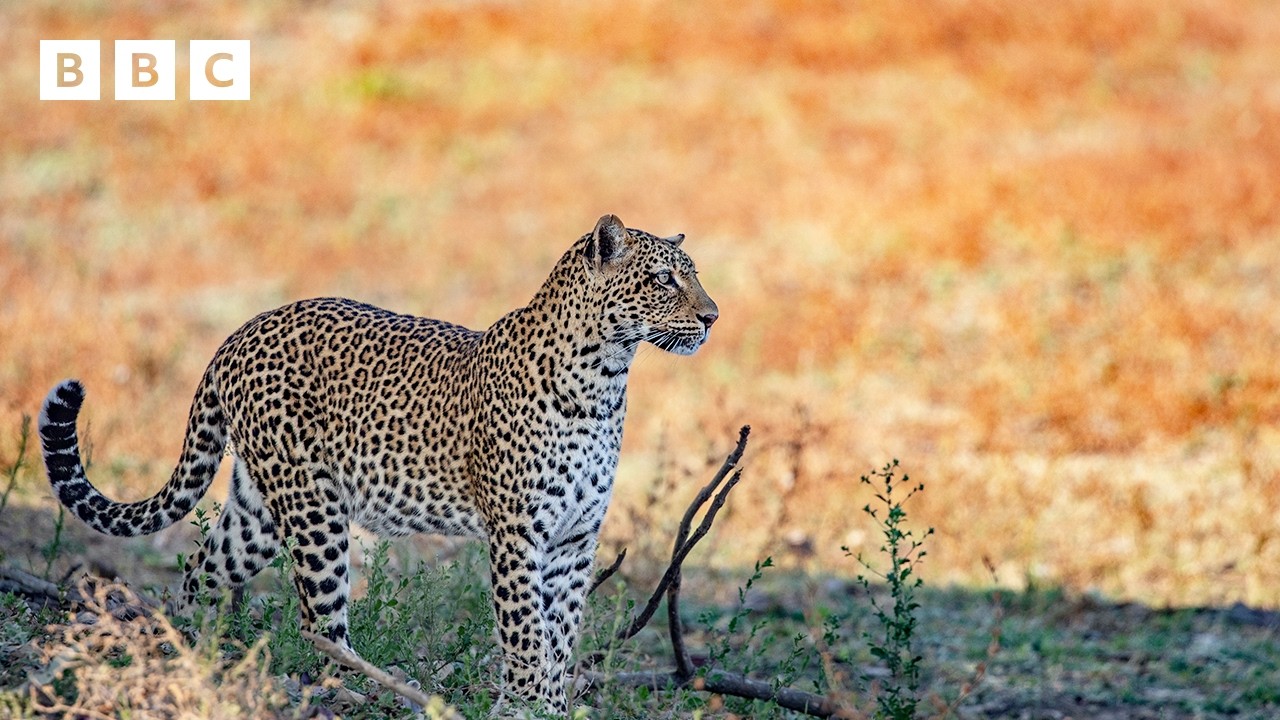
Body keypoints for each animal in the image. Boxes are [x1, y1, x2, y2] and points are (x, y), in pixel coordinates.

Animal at [38, 214, 719, 715]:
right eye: (663, 279)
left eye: (691, 277)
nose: (712, 316)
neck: (605, 379)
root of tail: (239, 332)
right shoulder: (518, 533)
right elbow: (527, 628)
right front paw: (529, 704)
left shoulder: (576, 537)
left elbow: (561, 631)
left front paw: (552, 702)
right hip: (314, 509)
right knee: (317, 622)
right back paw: (371, 686)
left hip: (258, 510)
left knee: (200, 571)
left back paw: (190, 653)